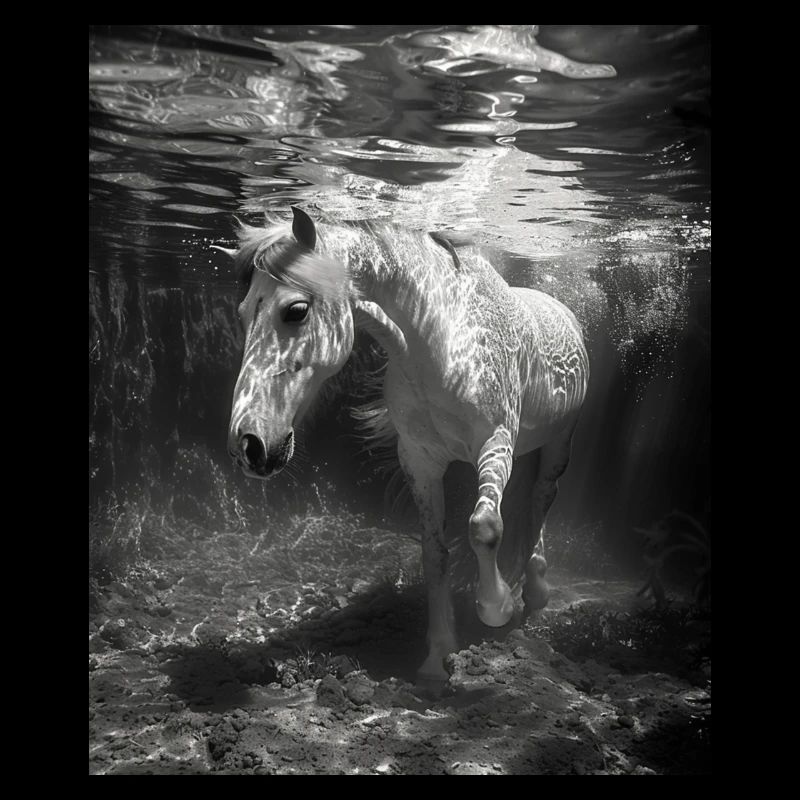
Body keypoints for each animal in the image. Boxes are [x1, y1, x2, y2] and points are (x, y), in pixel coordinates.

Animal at [226, 207, 589, 683]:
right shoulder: (419, 460)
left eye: (296, 310)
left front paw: (498, 606)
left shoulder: (495, 442)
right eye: (243, 313)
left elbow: (484, 528)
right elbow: (434, 554)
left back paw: (535, 591)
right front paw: (437, 658)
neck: (440, 342)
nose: (249, 444)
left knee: (542, 498)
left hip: (559, 441)